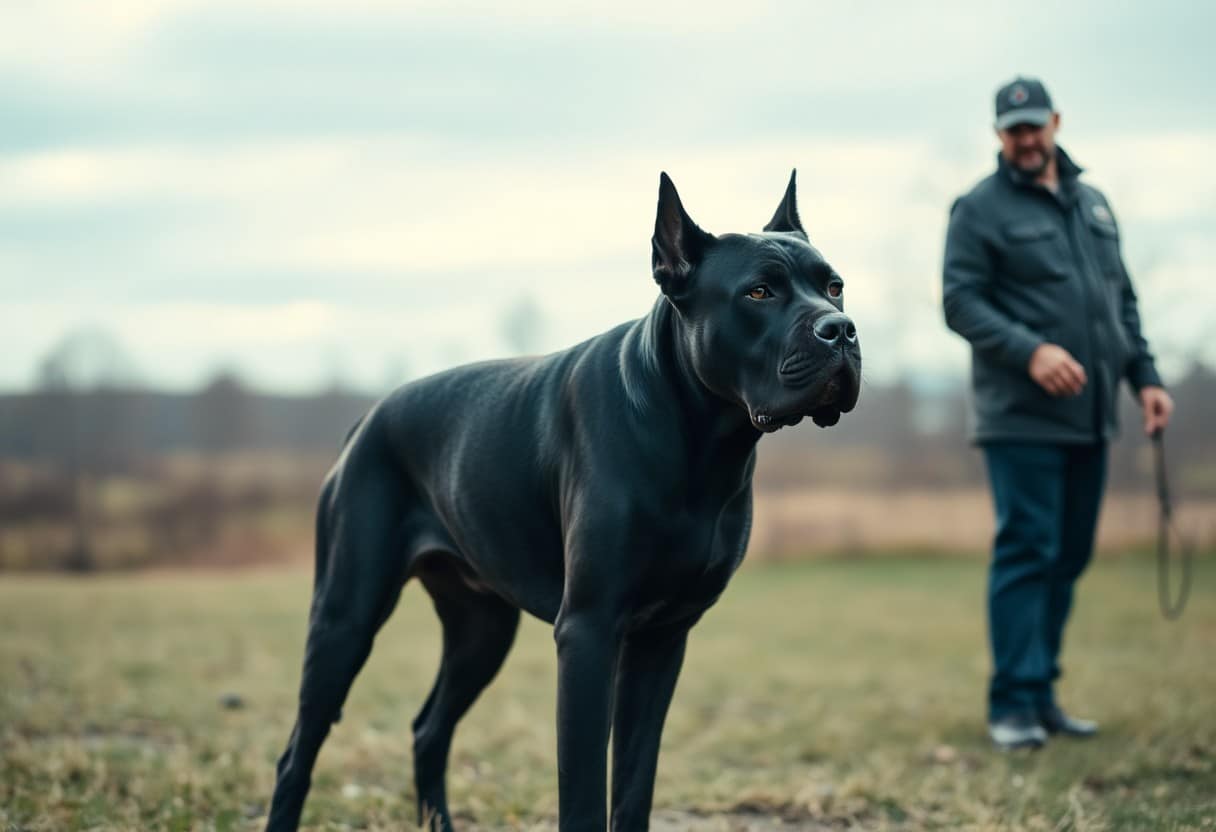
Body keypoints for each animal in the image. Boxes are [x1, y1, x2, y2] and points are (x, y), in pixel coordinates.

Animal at [265, 172, 860, 827]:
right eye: (758, 292)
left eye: (834, 287)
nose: (841, 329)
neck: (703, 441)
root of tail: (366, 421)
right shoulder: (588, 632)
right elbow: (583, 789)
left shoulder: (662, 639)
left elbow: (633, 780)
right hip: (346, 618)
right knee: (297, 754)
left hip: (481, 630)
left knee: (428, 729)